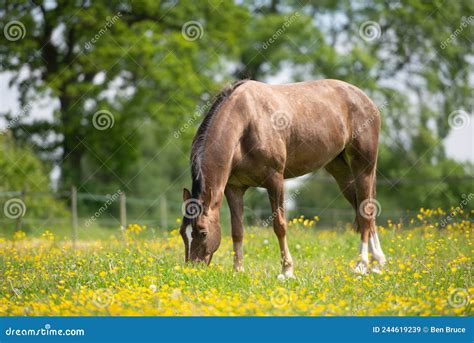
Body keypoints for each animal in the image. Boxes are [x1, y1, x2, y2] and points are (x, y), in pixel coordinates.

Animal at [180, 78, 386, 276]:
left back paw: (362, 265)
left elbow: (279, 225)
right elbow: (237, 230)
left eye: (203, 232)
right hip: (341, 171)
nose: (192, 270)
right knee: (363, 211)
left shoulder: (275, 181)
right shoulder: (234, 188)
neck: (246, 122)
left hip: (364, 168)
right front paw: (238, 270)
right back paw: (377, 264)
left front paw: (287, 270)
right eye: (183, 233)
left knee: (366, 213)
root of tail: (366, 100)